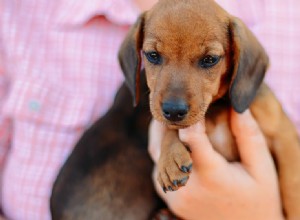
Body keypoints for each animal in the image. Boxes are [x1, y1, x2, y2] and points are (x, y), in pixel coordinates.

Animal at [119, 0, 300, 218]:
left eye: (210, 59)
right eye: (152, 56)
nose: (173, 111)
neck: (216, 108)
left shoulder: (284, 136)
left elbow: (292, 184)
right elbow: (170, 130)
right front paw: (170, 158)